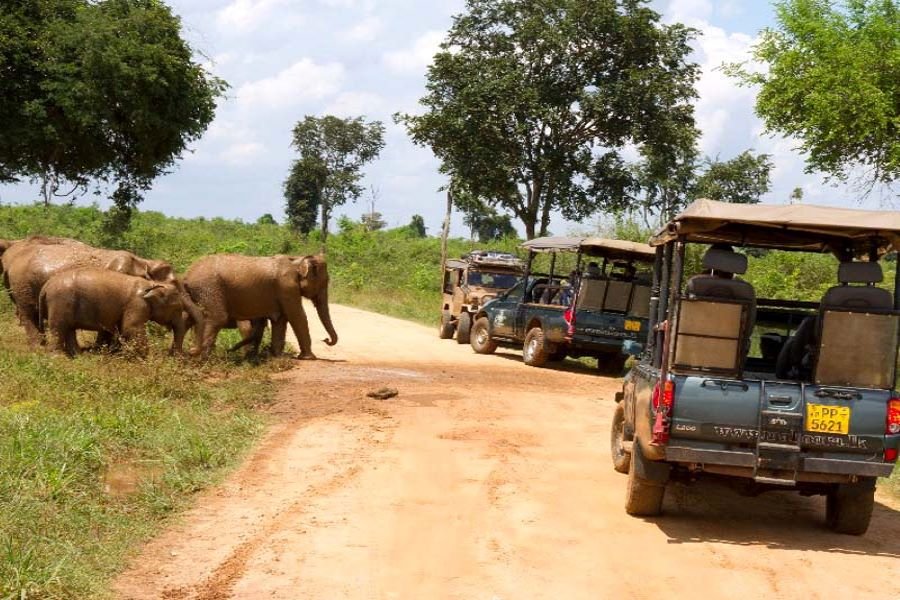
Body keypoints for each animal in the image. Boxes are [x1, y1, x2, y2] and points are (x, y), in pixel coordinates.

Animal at [38, 268, 188, 356]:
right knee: (59, 328)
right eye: (177, 308)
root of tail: (46, 286)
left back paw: (79, 355)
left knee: (69, 329)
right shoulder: (137, 304)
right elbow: (131, 328)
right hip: (60, 302)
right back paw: (59, 357)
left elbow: (122, 329)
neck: (152, 284)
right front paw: (147, 357)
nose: (173, 355)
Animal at [183, 252, 338, 358]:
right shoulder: (287, 287)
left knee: (187, 319)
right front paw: (309, 358)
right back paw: (203, 359)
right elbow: (297, 316)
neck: (297, 260)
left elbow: (280, 320)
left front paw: (277, 357)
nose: (326, 340)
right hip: (208, 288)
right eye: (324, 281)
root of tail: (187, 275)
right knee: (216, 318)